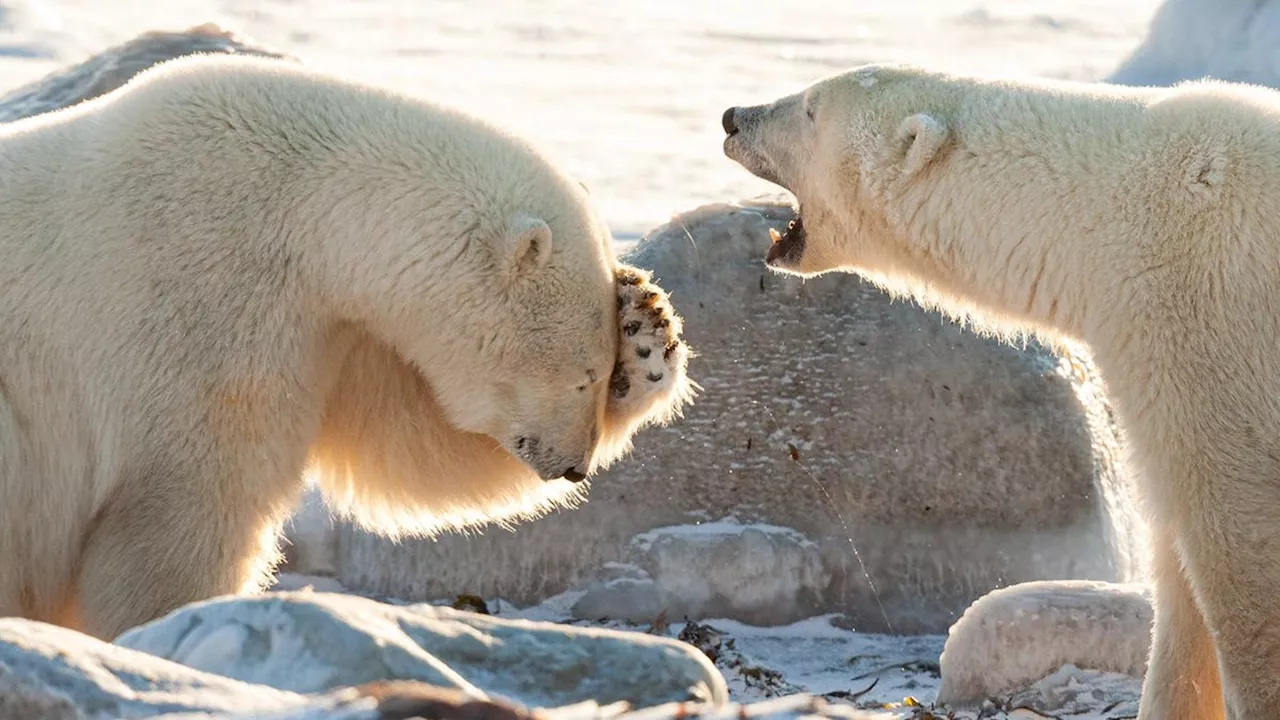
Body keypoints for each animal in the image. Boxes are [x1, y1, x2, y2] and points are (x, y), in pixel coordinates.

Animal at [0, 54, 696, 638]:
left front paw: (646, 328)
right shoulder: (198, 302)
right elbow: (186, 505)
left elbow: (411, 442)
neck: (298, 207)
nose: (574, 465)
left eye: (601, 372)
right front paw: (175, 627)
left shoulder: (333, 328)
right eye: (582, 374)